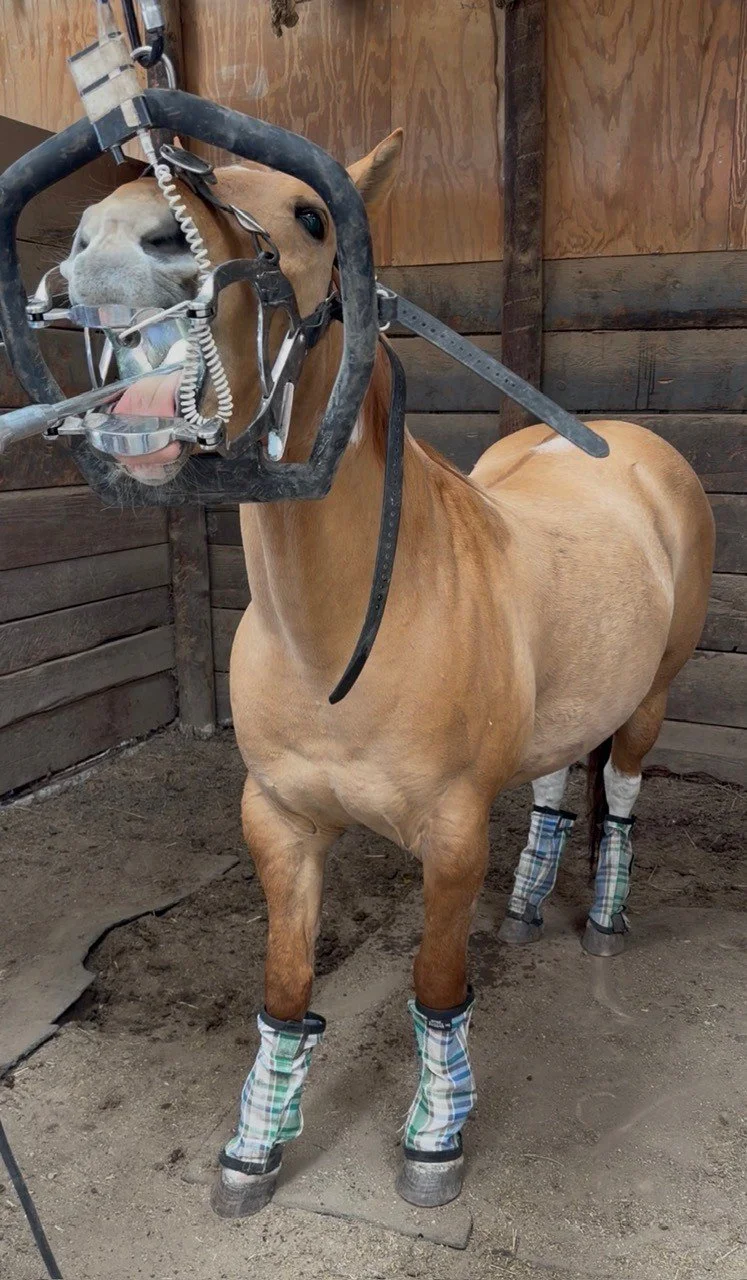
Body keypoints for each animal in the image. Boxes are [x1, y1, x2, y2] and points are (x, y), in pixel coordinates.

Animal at [60, 128, 715, 1215]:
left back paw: (602, 921)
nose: (112, 241)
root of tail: (638, 447)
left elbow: (438, 988)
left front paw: (435, 1140)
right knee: (554, 779)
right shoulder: (279, 822)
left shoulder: (450, 838)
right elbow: (285, 990)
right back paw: (529, 907)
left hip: (653, 696)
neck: (338, 643)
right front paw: (255, 1146)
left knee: (619, 792)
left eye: (313, 215)